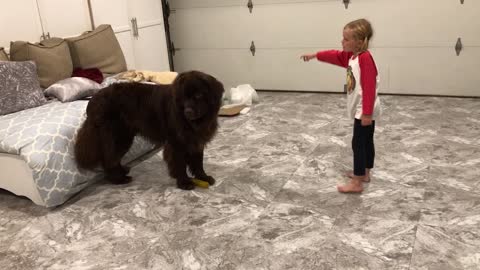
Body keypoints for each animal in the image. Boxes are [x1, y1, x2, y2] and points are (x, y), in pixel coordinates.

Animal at [74, 71, 225, 190]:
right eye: (183, 98)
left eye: (198, 95)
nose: (188, 112)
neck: (193, 123)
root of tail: (93, 99)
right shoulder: (176, 143)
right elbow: (180, 164)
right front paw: (184, 183)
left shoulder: (197, 141)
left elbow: (198, 163)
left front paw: (204, 177)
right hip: (117, 136)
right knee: (109, 158)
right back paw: (118, 179)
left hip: (125, 137)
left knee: (113, 158)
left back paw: (122, 171)